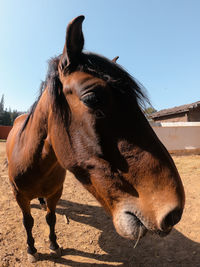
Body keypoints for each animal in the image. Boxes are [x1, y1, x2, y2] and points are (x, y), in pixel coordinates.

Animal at [5, 16, 184, 264]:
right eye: (92, 98)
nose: (173, 212)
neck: (34, 162)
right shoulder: (19, 196)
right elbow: (28, 222)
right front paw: (32, 250)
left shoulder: (55, 194)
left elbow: (51, 219)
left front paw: (53, 245)